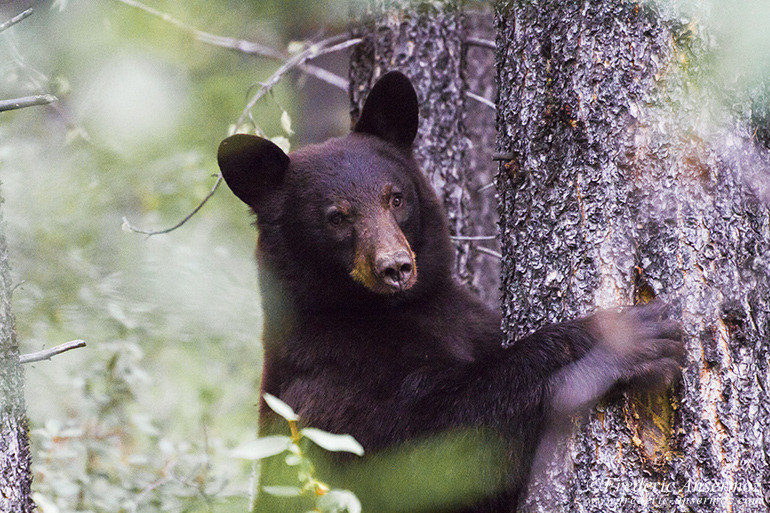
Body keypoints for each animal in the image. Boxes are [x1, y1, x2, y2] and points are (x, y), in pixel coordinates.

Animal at [218, 72, 684, 512]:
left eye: (395, 198)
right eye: (336, 217)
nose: (395, 268)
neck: (389, 312)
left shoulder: (463, 318)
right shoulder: (331, 394)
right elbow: (438, 456)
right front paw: (621, 341)